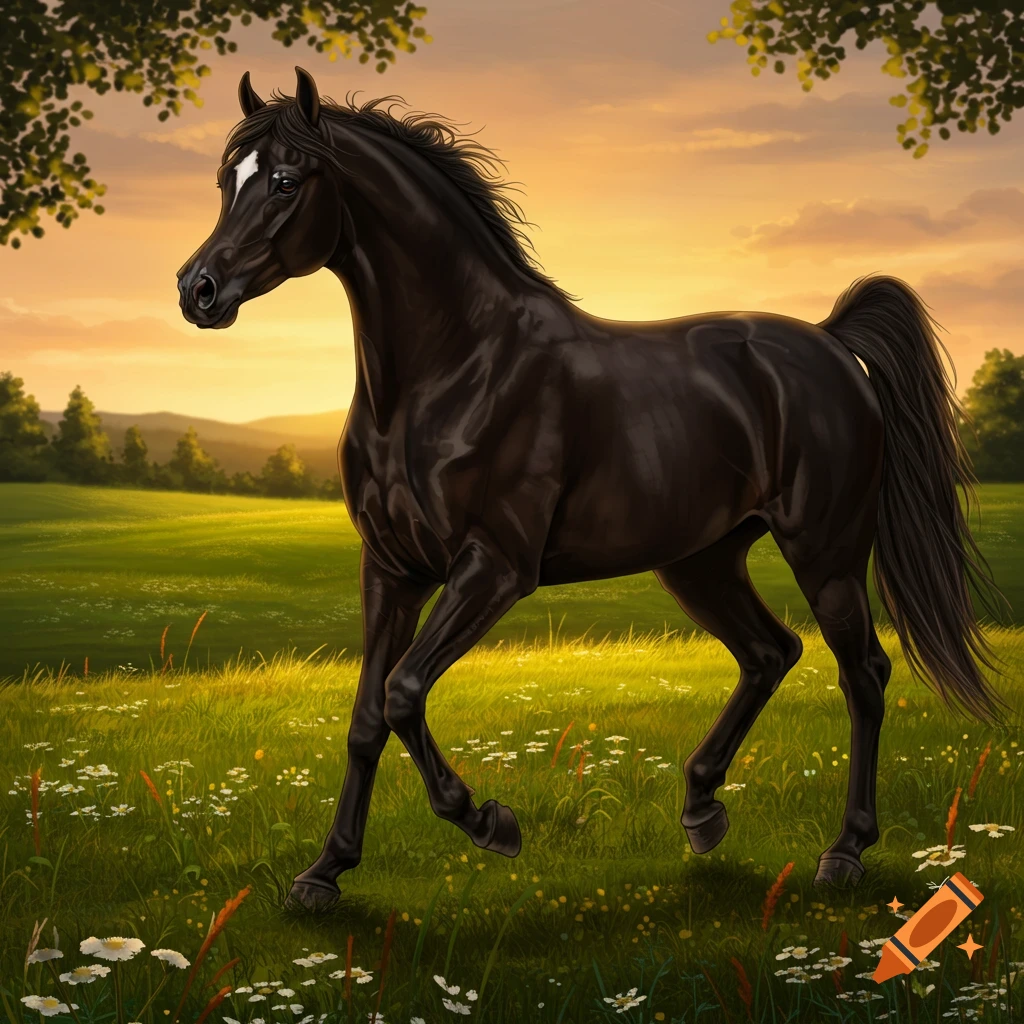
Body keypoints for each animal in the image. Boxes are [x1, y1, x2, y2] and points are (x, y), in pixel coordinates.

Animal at [178, 67, 1006, 912]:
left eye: (285, 181)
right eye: (226, 180)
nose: (197, 290)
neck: (454, 370)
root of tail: (832, 344)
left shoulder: (494, 569)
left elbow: (405, 692)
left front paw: (491, 823)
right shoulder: (391, 570)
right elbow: (366, 715)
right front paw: (324, 872)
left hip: (826, 555)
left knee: (862, 674)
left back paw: (843, 853)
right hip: (701, 561)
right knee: (770, 652)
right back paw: (702, 811)